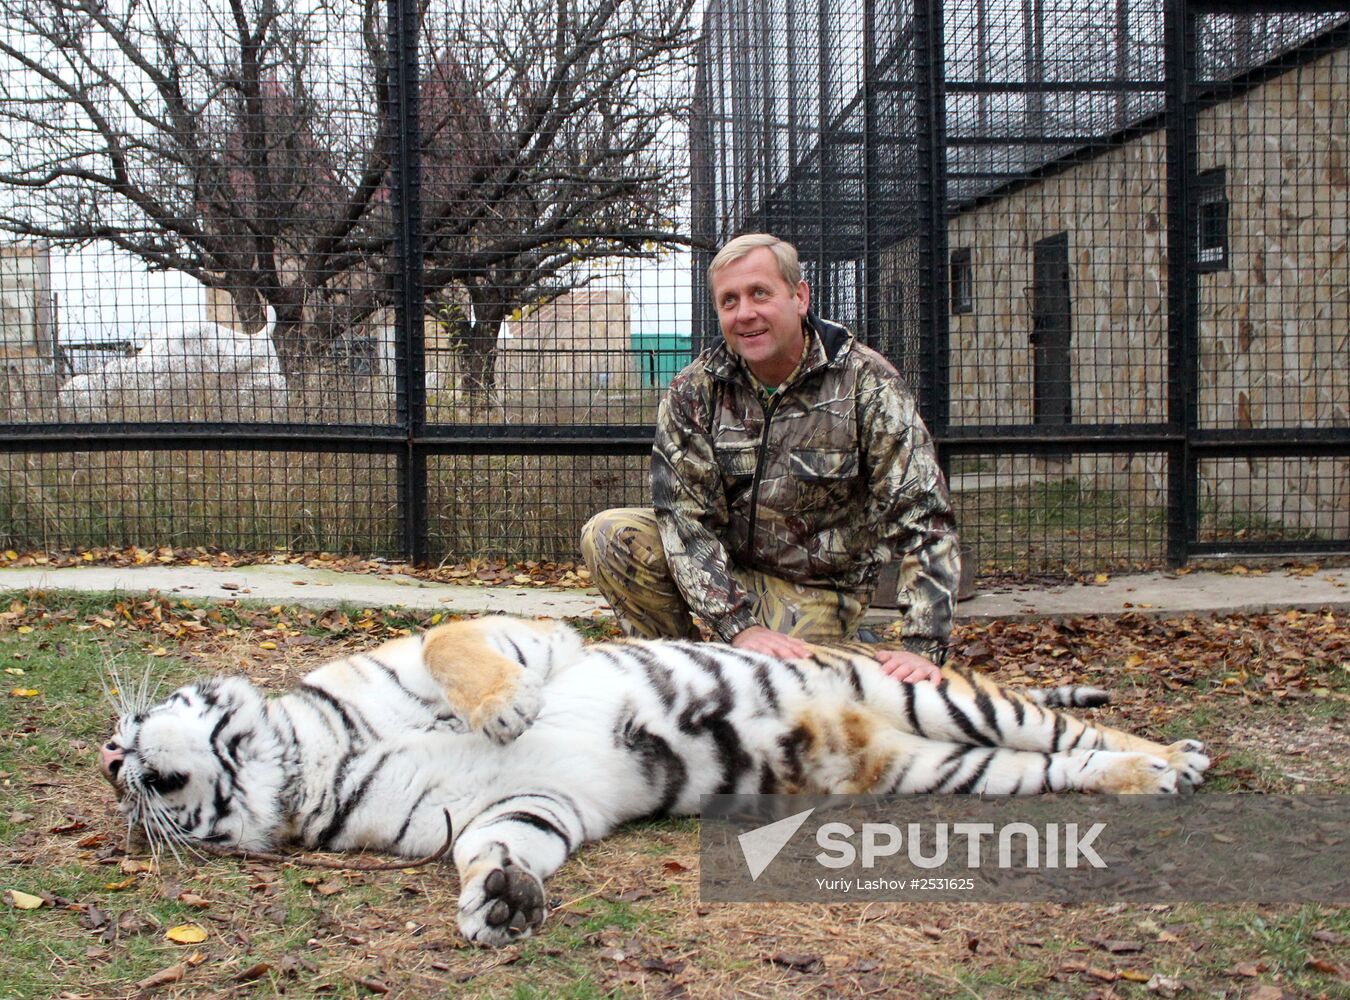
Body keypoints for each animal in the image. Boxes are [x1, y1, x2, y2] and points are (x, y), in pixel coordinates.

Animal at [97, 615, 1215, 944]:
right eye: (116, 767)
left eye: (129, 724)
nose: (113, 762)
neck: (299, 764)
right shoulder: (517, 808)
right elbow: (496, 845)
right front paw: (498, 899)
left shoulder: (508, 634)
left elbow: (460, 645)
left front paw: (503, 710)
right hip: (950, 767)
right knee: (1056, 763)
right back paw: (1150, 777)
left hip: (952, 708)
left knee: (1061, 723)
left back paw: (1180, 757)